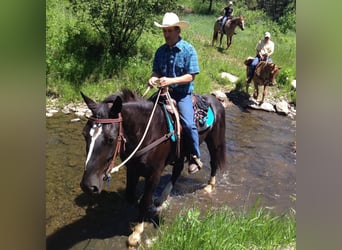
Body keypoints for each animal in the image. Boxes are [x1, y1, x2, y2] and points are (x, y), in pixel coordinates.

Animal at [79, 88, 226, 248]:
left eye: (111, 139)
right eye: (84, 134)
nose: (88, 186)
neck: (147, 131)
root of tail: (214, 100)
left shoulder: (154, 173)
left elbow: (144, 201)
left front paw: (136, 233)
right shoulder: (132, 169)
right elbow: (131, 196)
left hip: (214, 141)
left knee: (213, 162)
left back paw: (209, 186)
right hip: (180, 154)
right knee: (177, 170)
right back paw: (161, 199)